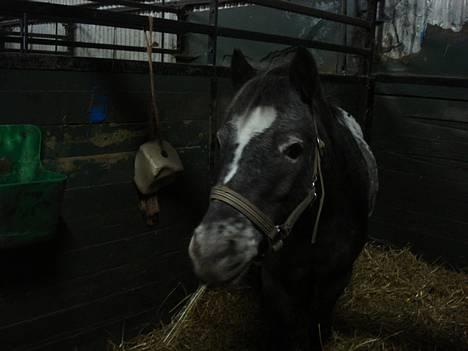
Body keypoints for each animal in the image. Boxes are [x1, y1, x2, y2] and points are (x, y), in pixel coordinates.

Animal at [188, 47, 378, 351]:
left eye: (294, 149)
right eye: (219, 141)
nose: (211, 250)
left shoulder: (335, 279)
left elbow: (317, 325)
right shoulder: (276, 282)